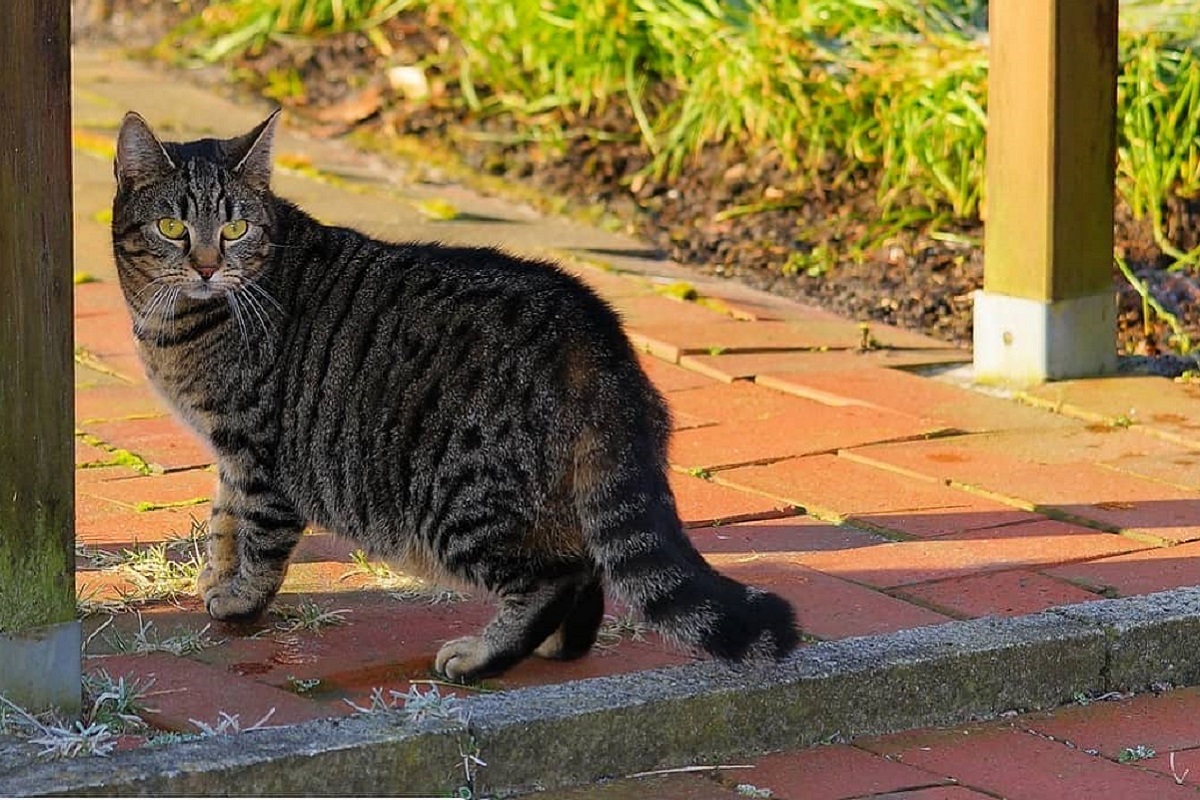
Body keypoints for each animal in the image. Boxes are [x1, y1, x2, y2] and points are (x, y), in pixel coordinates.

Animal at [108, 109, 792, 681]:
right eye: (173, 227)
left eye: (235, 227)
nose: (204, 265)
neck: (176, 323)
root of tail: (601, 340)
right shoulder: (230, 452)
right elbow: (223, 519)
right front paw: (215, 578)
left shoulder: (258, 452)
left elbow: (256, 534)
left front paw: (240, 598)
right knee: (586, 568)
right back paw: (560, 644)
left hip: (462, 496)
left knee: (554, 577)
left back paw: (485, 655)